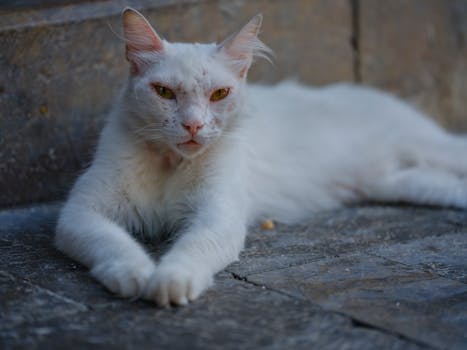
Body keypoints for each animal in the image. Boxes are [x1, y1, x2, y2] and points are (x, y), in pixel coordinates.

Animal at [54, 6, 467, 304]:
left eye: (219, 94)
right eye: (164, 93)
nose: (193, 126)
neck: (171, 164)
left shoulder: (218, 216)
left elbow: (191, 250)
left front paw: (170, 282)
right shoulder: (80, 213)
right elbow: (113, 244)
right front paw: (135, 275)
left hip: (428, 148)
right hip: (401, 182)